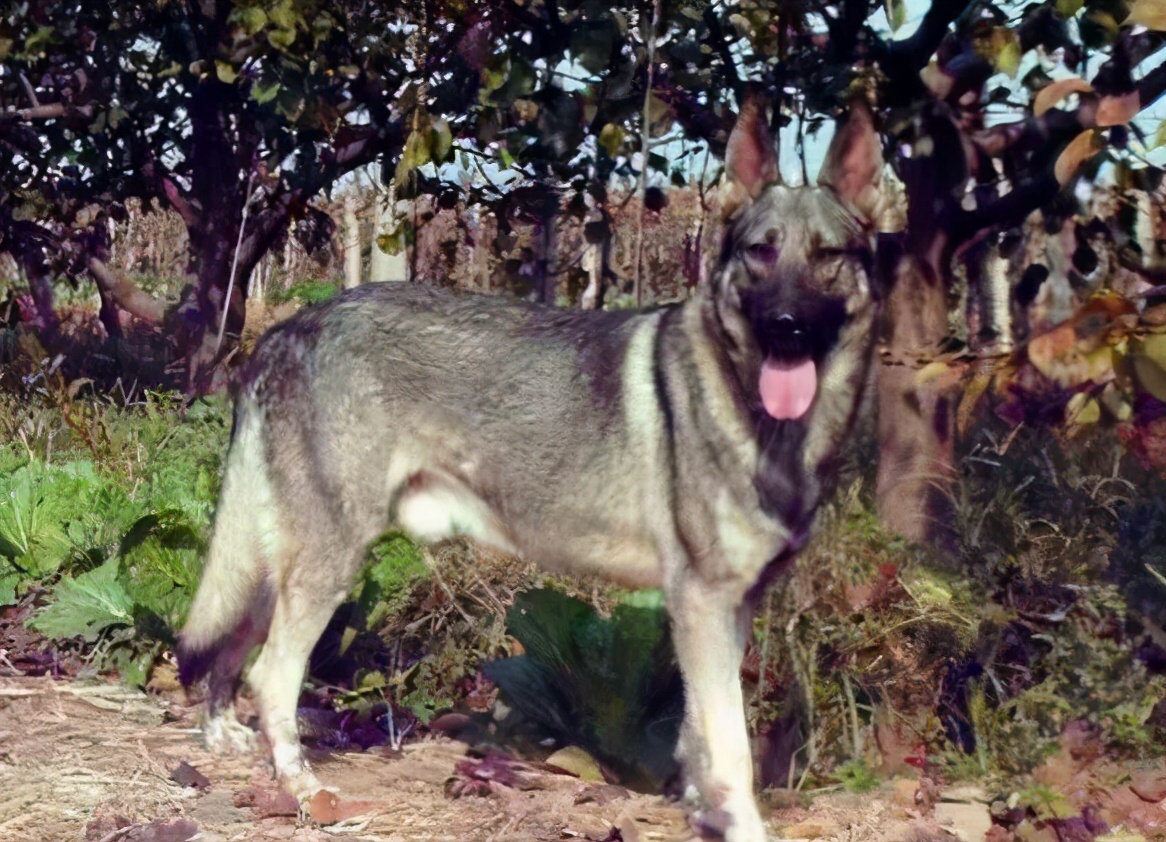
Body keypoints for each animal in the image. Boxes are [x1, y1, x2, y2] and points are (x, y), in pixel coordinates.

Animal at [177, 100, 881, 839]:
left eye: (828, 255)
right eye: (760, 251)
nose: (786, 327)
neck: (762, 416)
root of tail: (284, 333)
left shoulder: (722, 613)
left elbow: (699, 736)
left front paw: (697, 810)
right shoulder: (704, 604)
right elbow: (731, 746)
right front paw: (739, 823)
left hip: (280, 562)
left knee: (232, 649)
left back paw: (222, 734)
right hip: (328, 565)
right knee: (272, 676)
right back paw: (304, 789)